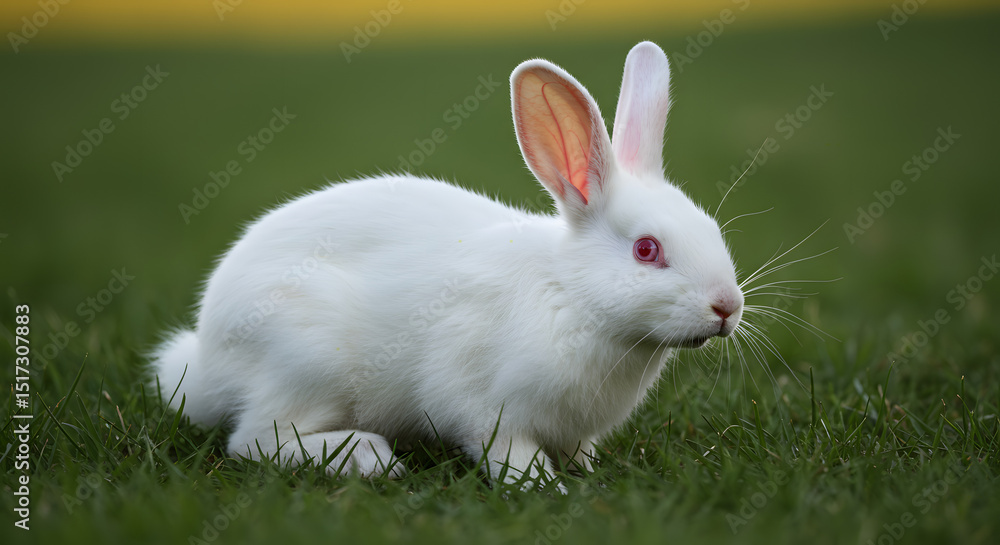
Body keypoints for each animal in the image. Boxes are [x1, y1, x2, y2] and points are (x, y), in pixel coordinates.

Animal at [151, 41, 743, 490]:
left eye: (712, 230)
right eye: (647, 250)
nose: (727, 308)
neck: (572, 296)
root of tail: (206, 361)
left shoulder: (575, 430)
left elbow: (579, 452)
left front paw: (586, 474)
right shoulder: (483, 407)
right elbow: (509, 453)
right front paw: (543, 488)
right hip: (305, 361)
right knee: (254, 439)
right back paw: (368, 457)